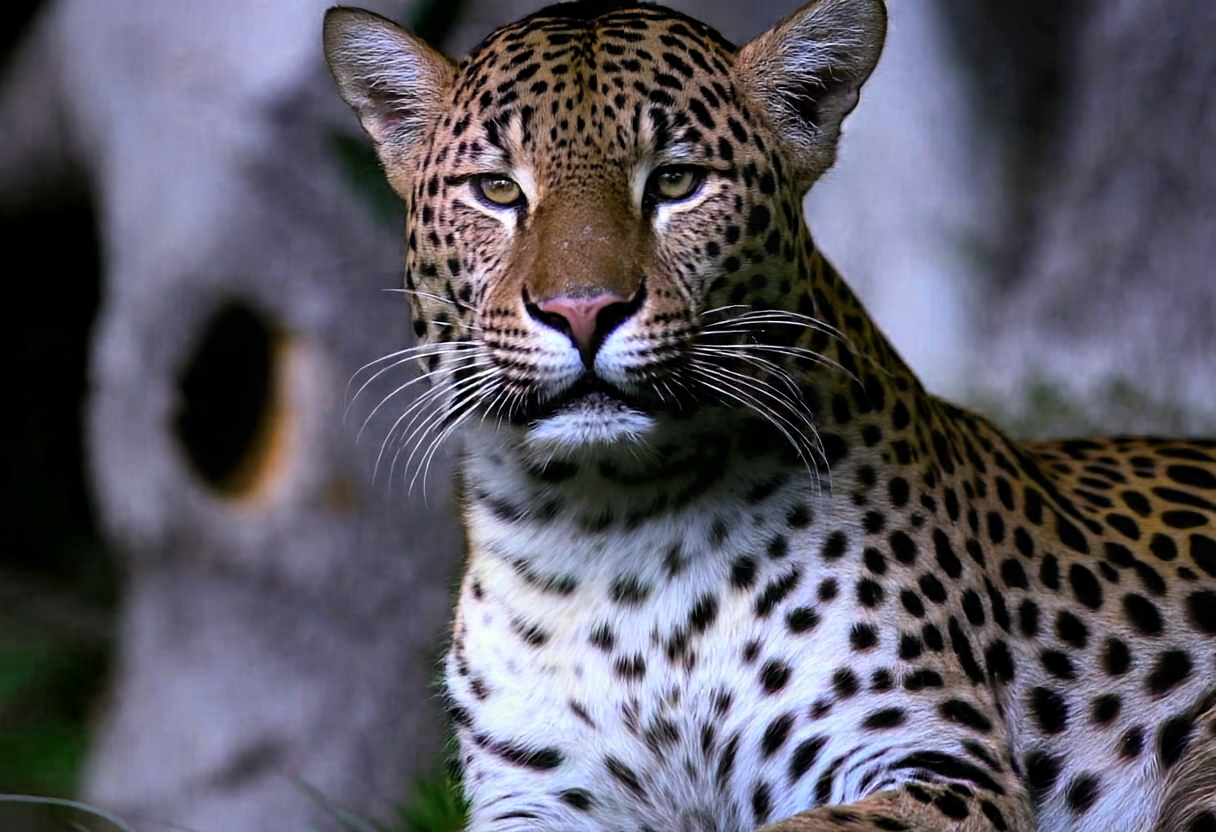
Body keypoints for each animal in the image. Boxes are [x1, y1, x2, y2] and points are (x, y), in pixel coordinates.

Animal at [322, 1, 1216, 830]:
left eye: (676, 182)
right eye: (499, 190)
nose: (582, 311)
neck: (612, 534)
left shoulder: (939, 762)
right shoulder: (536, 797)